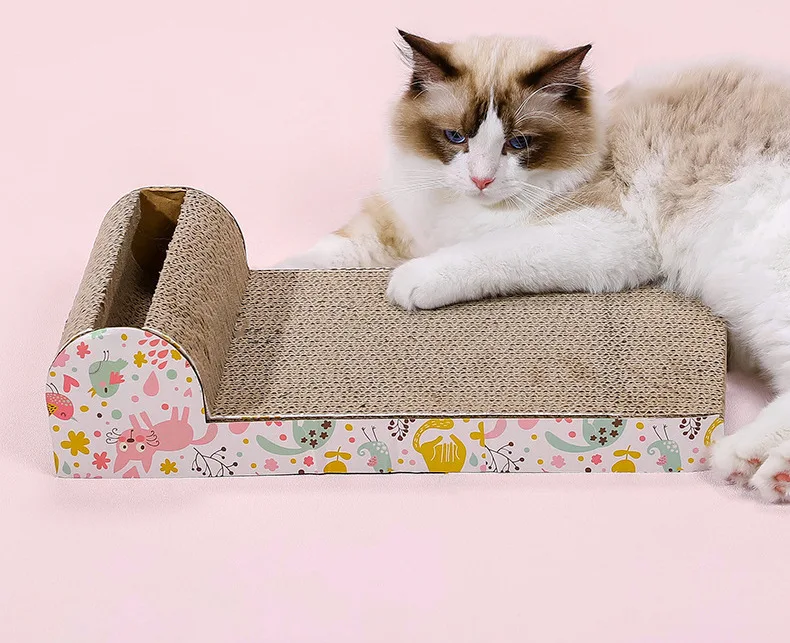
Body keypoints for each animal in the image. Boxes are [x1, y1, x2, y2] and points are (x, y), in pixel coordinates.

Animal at [276, 30, 790, 502]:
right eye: (456, 138)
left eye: (518, 143)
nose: (481, 180)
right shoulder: (401, 220)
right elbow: (335, 250)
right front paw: (286, 271)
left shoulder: (604, 229)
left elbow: (488, 252)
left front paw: (412, 280)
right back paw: (763, 468)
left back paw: (752, 464)